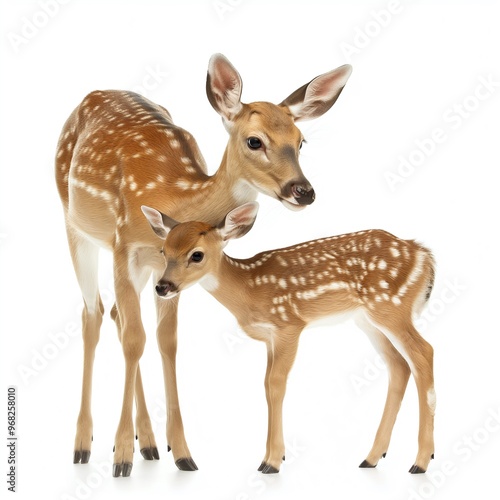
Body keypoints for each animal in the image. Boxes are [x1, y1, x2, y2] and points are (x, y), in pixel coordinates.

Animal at [53, 53, 352, 476]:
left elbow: (166, 341)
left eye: (300, 140)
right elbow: (134, 340)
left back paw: (148, 444)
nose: (304, 191)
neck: (175, 194)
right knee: (93, 314)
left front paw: (180, 452)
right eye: (255, 140)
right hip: (73, 224)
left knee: (115, 314)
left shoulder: (163, 267)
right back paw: (83, 446)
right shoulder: (124, 245)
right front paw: (121, 456)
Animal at [143, 202, 436, 472]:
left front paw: (271, 462)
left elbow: (276, 384)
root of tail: (424, 255)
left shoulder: (289, 325)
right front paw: (273, 456)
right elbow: (265, 384)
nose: (162, 286)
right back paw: (371, 458)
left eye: (197, 255)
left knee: (424, 353)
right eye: (164, 251)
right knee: (399, 365)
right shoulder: (270, 338)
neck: (249, 290)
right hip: (368, 319)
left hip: (390, 306)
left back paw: (421, 461)